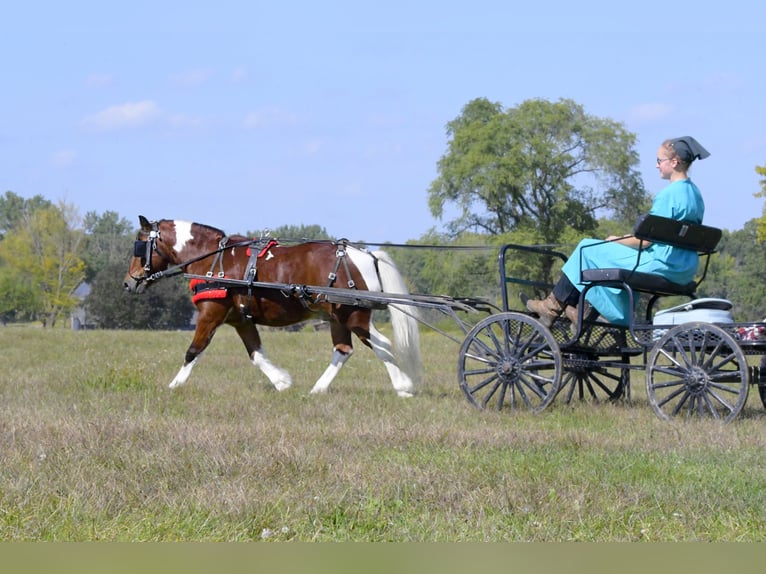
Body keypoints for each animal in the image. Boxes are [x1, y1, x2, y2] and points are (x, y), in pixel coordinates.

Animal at [123, 216, 421, 397]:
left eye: (139, 245)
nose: (128, 283)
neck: (211, 260)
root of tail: (366, 255)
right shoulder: (240, 320)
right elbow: (255, 353)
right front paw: (282, 381)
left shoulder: (211, 314)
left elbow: (193, 350)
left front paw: (174, 385)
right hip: (338, 316)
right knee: (343, 349)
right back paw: (318, 389)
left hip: (353, 315)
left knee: (381, 344)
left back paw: (404, 385)